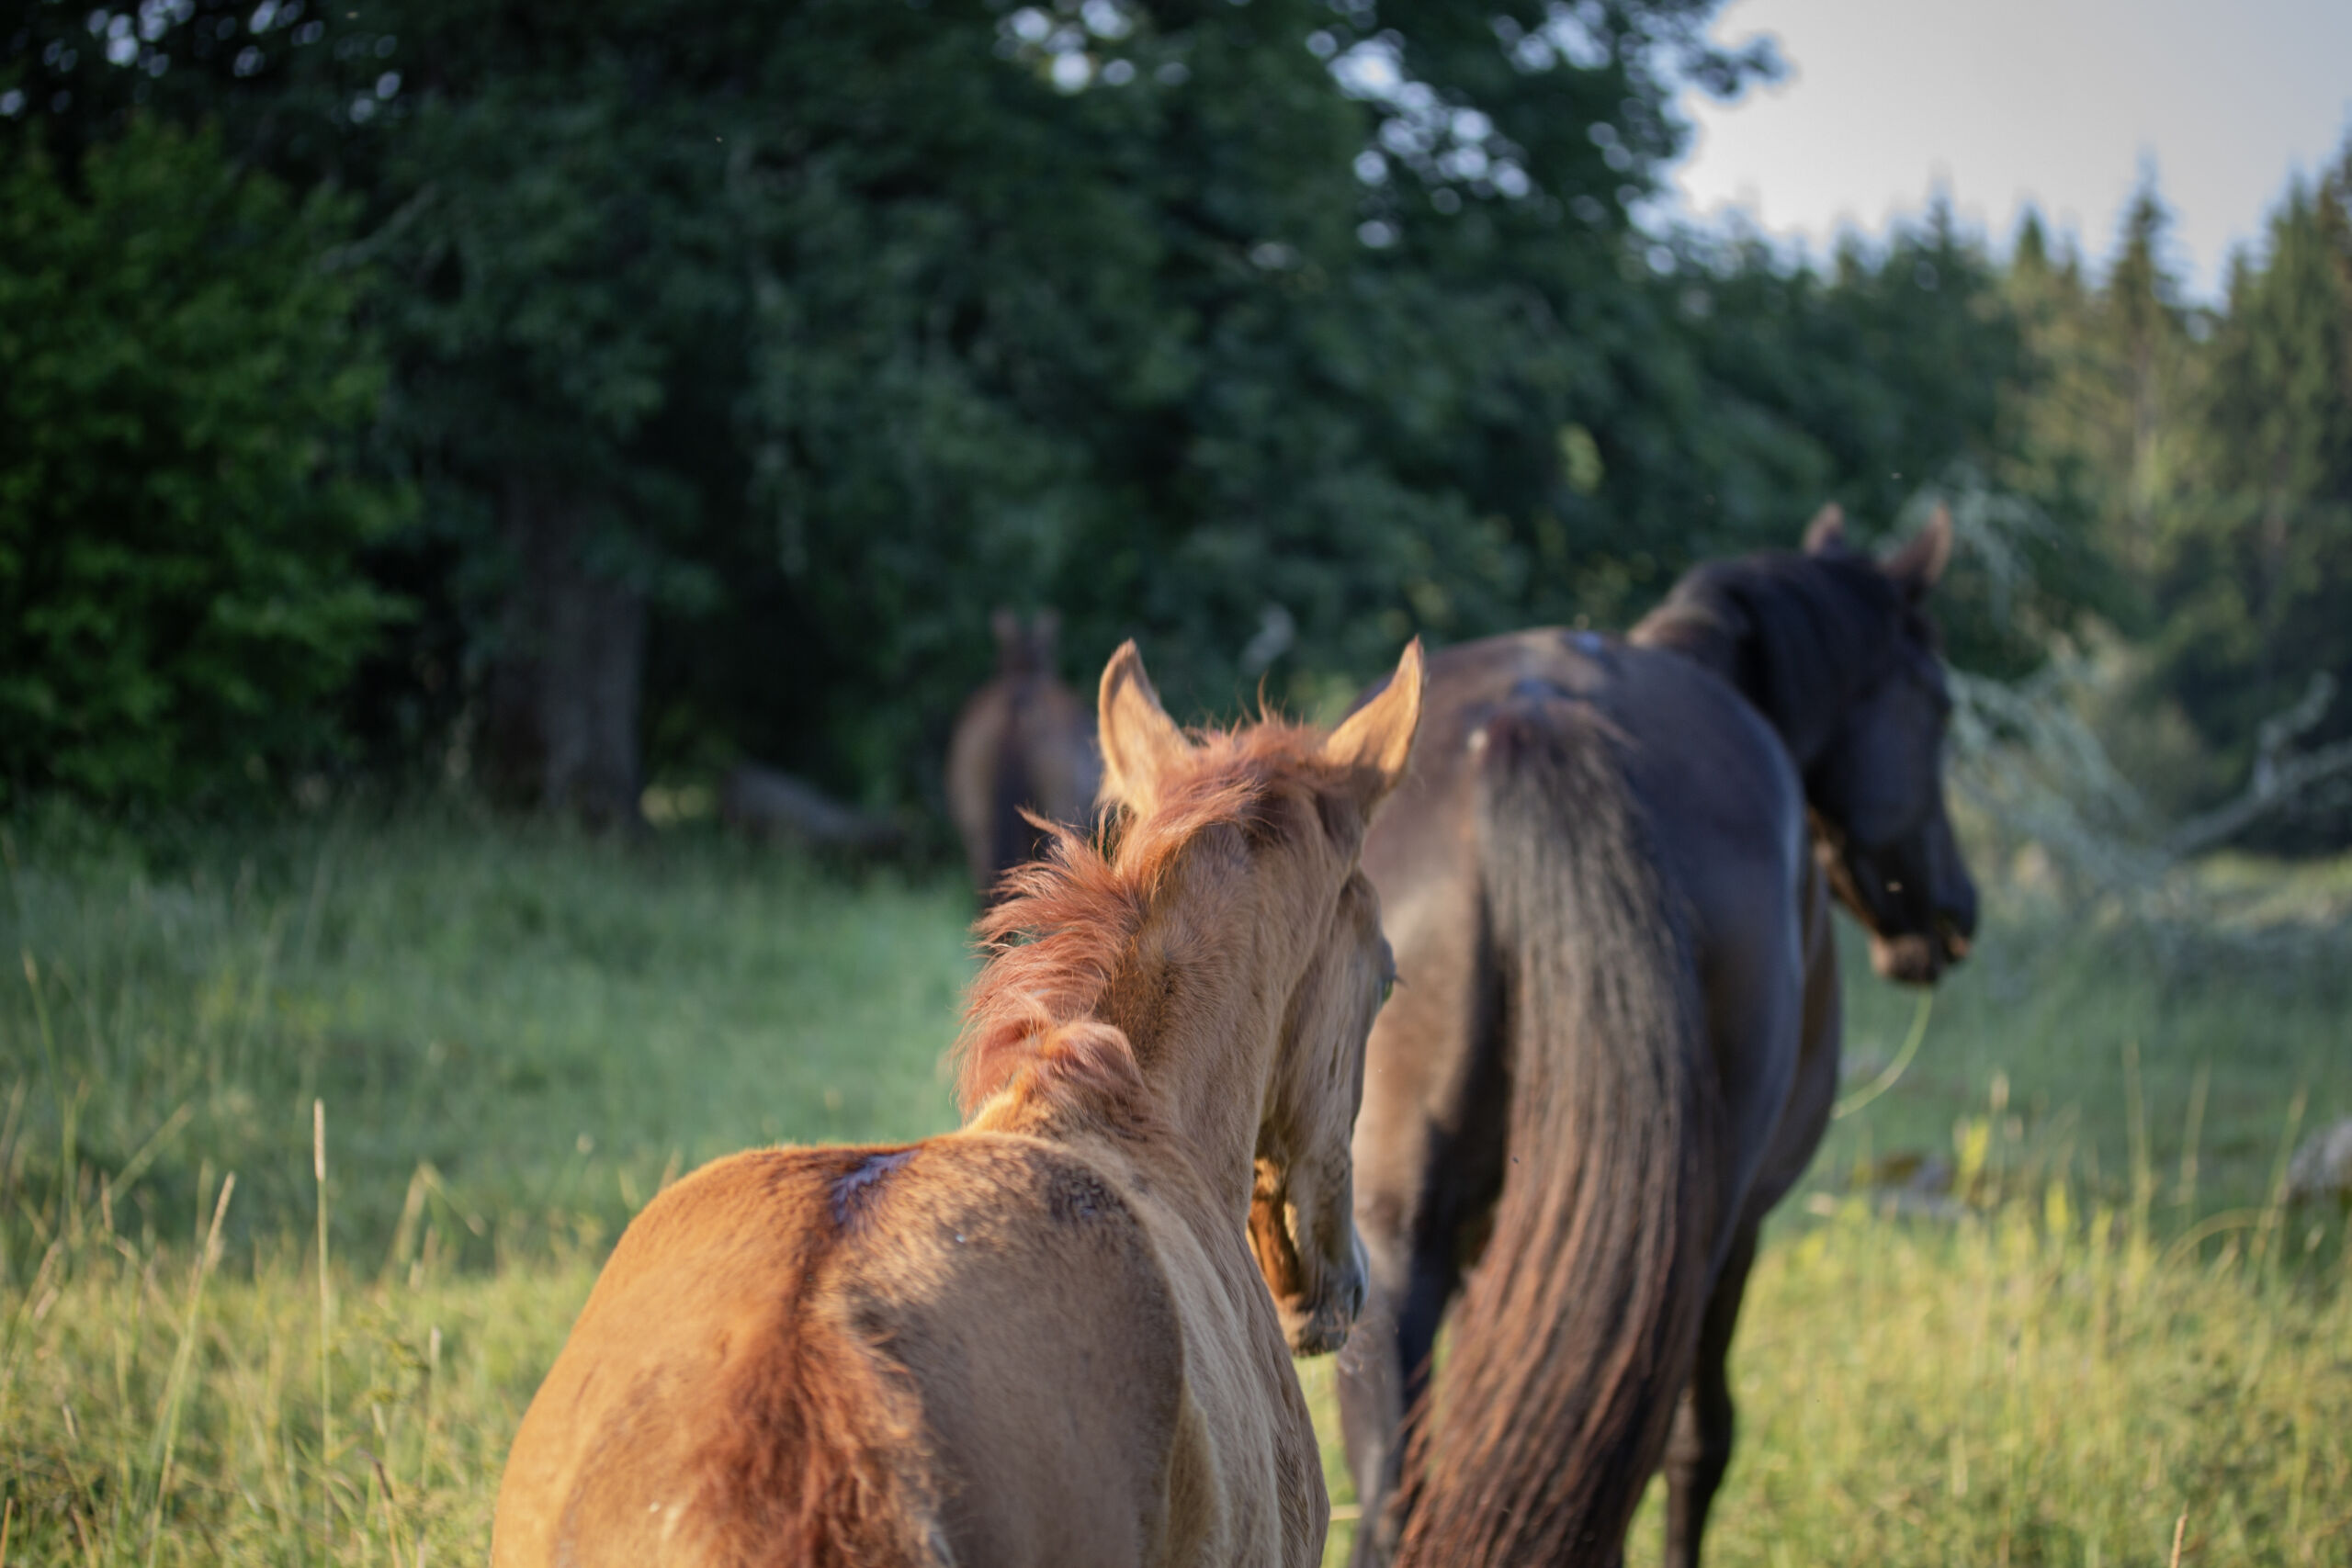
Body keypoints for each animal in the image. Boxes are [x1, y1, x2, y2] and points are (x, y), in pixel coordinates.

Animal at [1336, 512, 1975, 1568]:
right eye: (1939, 706)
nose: (1956, 910)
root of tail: (1538, 721)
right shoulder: (1738, 1229)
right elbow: (1699, 1442)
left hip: (1394, 1238)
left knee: (1395, 1490)